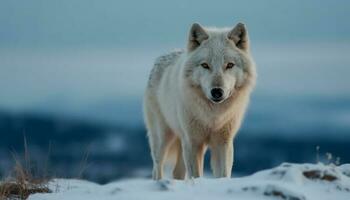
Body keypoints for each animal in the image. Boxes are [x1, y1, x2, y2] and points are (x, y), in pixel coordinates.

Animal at [143, 22, 258, 180]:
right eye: (205, 65)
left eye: (229, 65)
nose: (217, 92)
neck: (213, 117)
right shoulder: (193, 142)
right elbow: (196, 174)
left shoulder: (223, 143)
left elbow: (223, 174)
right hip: (163, 138)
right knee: (157, 168)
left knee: (177, 172)